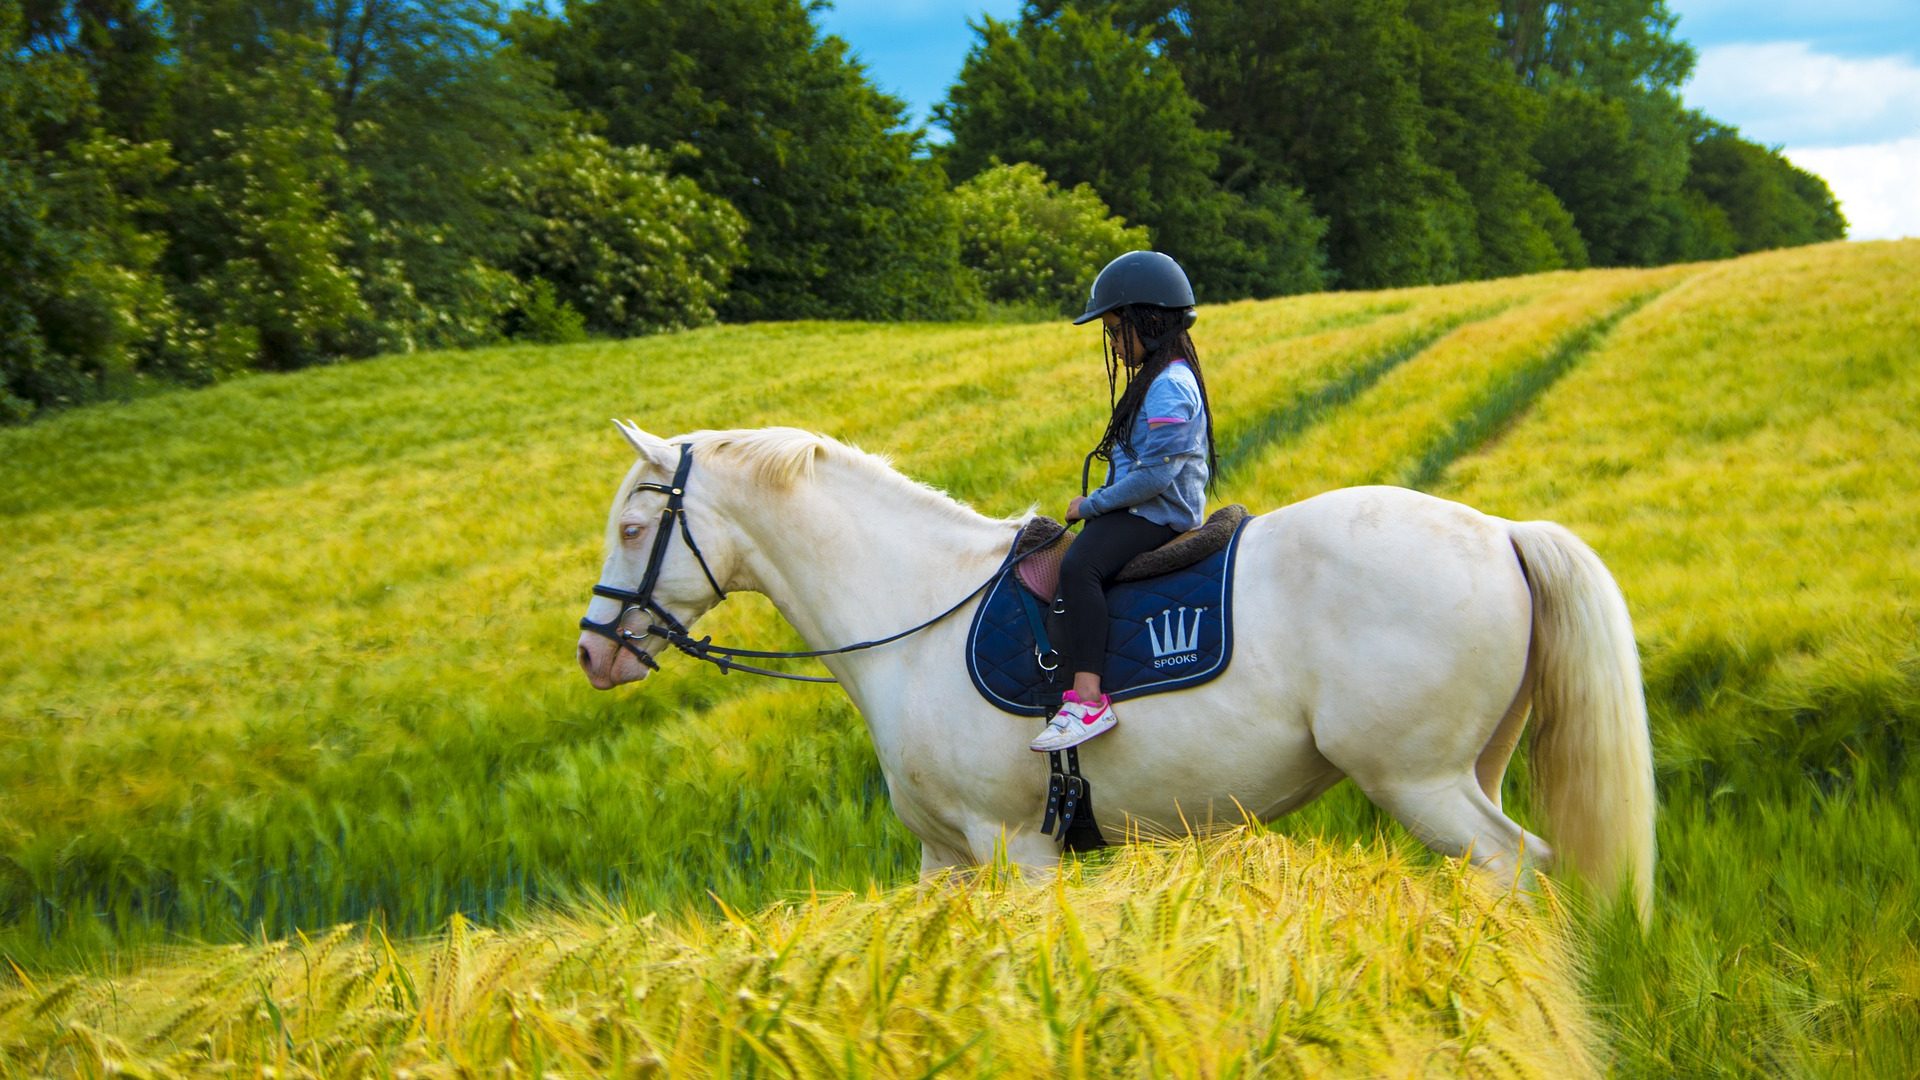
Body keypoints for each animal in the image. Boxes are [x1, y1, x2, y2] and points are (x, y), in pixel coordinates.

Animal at [576, 420, 1658, 914]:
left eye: (632, 527)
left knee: (1515, 865)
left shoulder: (1014, 849)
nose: (593, 651)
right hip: (1470, 767)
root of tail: (1503, 531)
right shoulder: (945, 859)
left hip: (1420, 781)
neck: (916, 613)